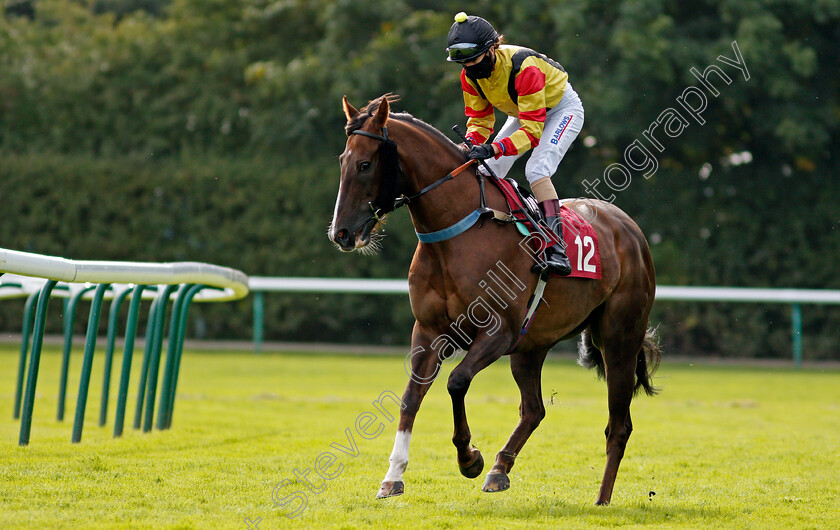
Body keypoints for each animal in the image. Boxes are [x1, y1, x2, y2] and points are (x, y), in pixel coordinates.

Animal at [330, 94, 664, 504]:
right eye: (342, 160)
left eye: (365, 164)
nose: (341, 233)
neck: (459, 230)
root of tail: (630, 230)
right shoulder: (428, 331)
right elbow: (410, 397)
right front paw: (393, 476)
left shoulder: (497, 332)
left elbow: (456, 381)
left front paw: (469, 458)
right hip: (531, 345)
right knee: (534, 410)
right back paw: (499, 469)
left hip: (619, 339)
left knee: (619, 425)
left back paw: (601, 499)